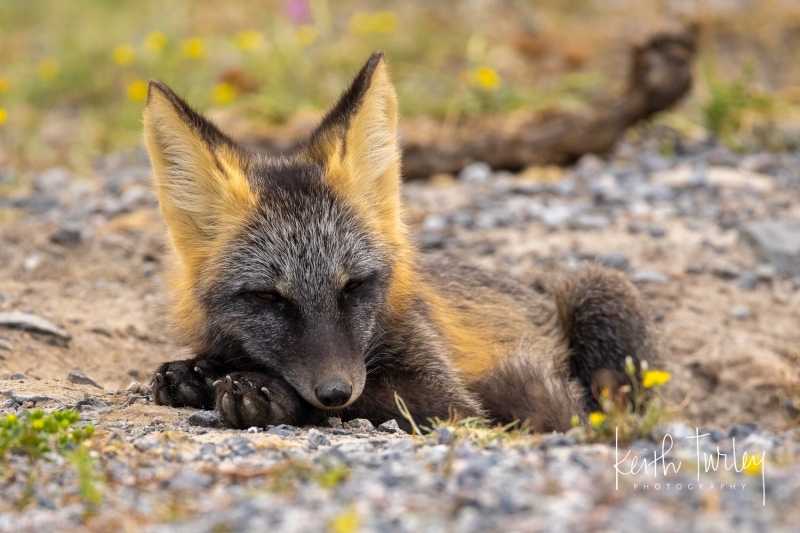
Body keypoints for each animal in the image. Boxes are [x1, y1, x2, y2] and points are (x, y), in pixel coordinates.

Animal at [144, 52, 658, 433]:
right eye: (270, 297)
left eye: (353, 286)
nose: (334, 390)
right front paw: (196, 372)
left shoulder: (448, 396)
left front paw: (267, 393)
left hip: (601, 291)